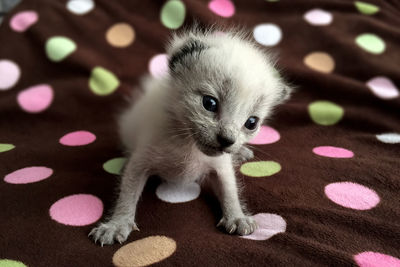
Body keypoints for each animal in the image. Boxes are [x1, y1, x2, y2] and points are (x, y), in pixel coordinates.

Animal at [89, 26, 292, 246]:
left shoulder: (221, 166)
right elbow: (127, 193)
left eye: (251, 123)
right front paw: (116, 224)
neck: (188, 143)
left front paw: (237, 216)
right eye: (209, 103)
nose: (227, 140)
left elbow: (230, 189)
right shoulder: (140, 160)